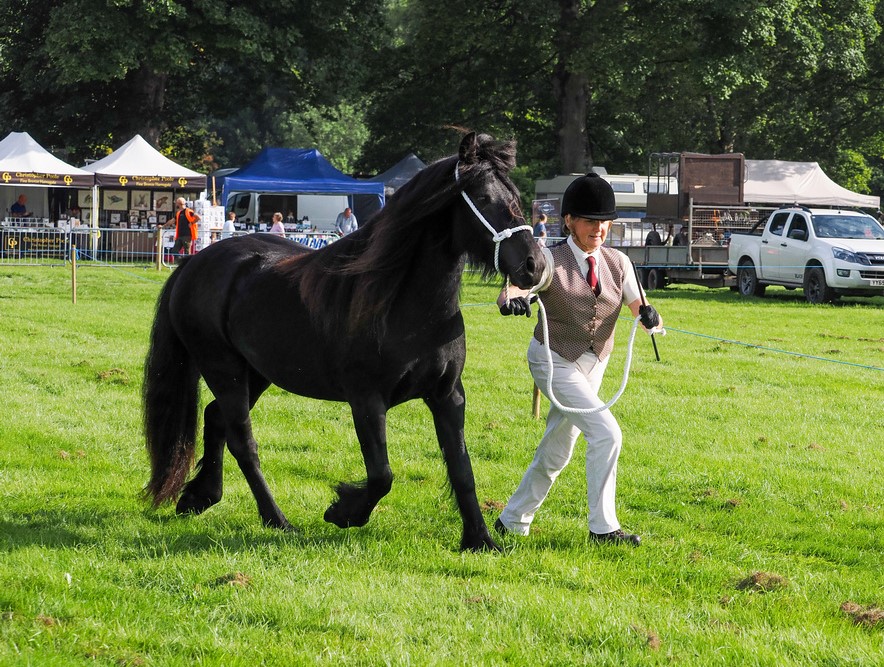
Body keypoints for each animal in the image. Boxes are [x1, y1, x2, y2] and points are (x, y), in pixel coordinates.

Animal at [143, 133, 544, 552]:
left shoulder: (448, 395)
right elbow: (382, 474)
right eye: (482, 196)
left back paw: (200, 496)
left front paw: (480, 539)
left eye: (515, 195)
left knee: (216, 419)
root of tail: (195, 262)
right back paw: (277, 520)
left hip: (255, 373)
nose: (533, 265)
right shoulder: (366, 400)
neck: (403, 303)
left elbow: (462, 468)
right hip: (224, 369)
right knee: (242, 441)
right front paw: (344, 511)